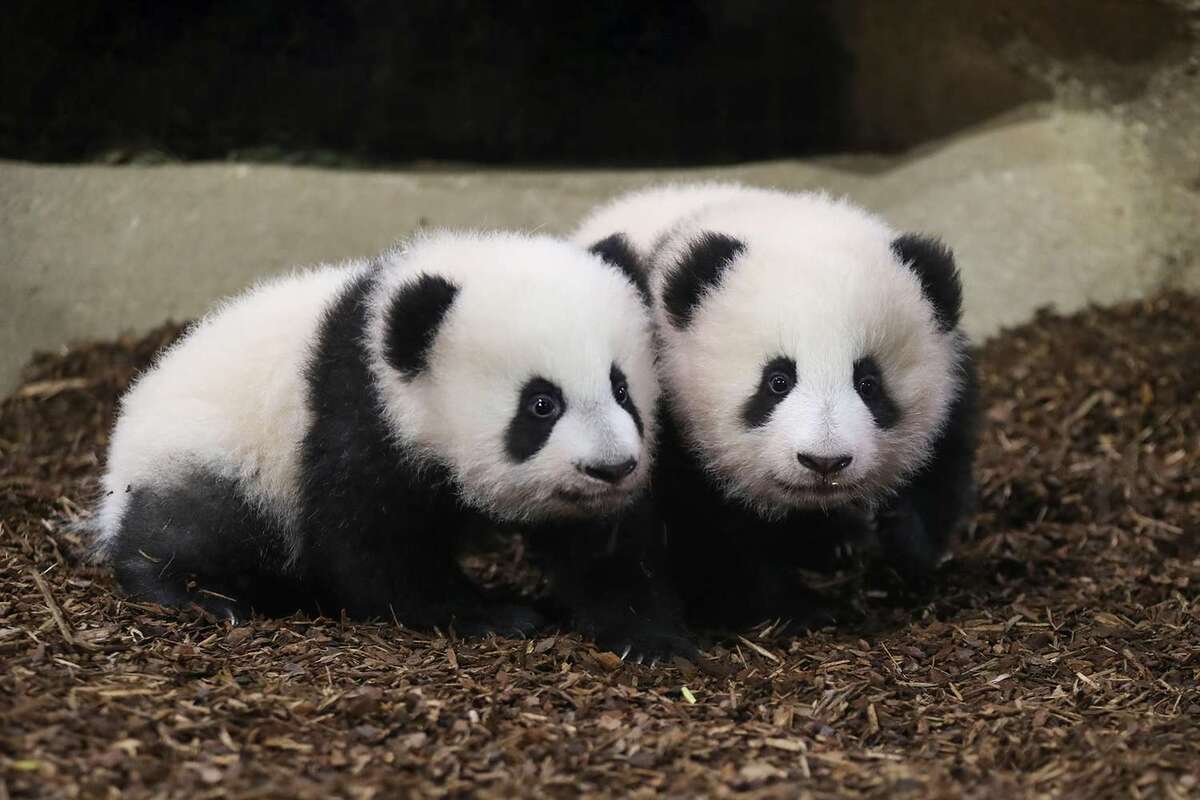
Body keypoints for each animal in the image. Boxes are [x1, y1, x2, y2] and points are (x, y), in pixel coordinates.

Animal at [92, 230, 693, 657]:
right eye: (541, 404)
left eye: (621, 388)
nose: (611, 468)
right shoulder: (355, 419)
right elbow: (373, 548)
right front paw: (494, 616)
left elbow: (605, 545)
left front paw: (649, 638)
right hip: (214, 454)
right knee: (192, 525)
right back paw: (191, 593)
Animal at [575, 183, 979, 628]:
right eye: (777, 381)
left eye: (869, 384)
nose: (824, 462)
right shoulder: (671, 419)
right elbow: (713, 539)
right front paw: (798, 609)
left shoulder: (950, 385)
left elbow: (938, 471)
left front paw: (898, 544)